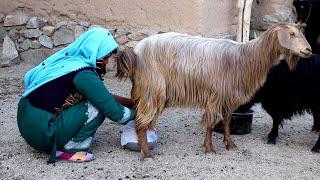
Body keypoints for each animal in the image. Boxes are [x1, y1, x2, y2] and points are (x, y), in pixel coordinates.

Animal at [114, 22, 310, 158]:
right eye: (291, 34)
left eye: (300, 33)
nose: (308, 50)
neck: (244, 58)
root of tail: (135, 52)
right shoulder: (215, 96)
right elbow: (210, 123)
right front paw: (209, 148)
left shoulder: (229, 98)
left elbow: (227, 121)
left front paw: (230, 144)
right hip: (152, 89)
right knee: (141, 122)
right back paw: (147, 153)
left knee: (148, 120)